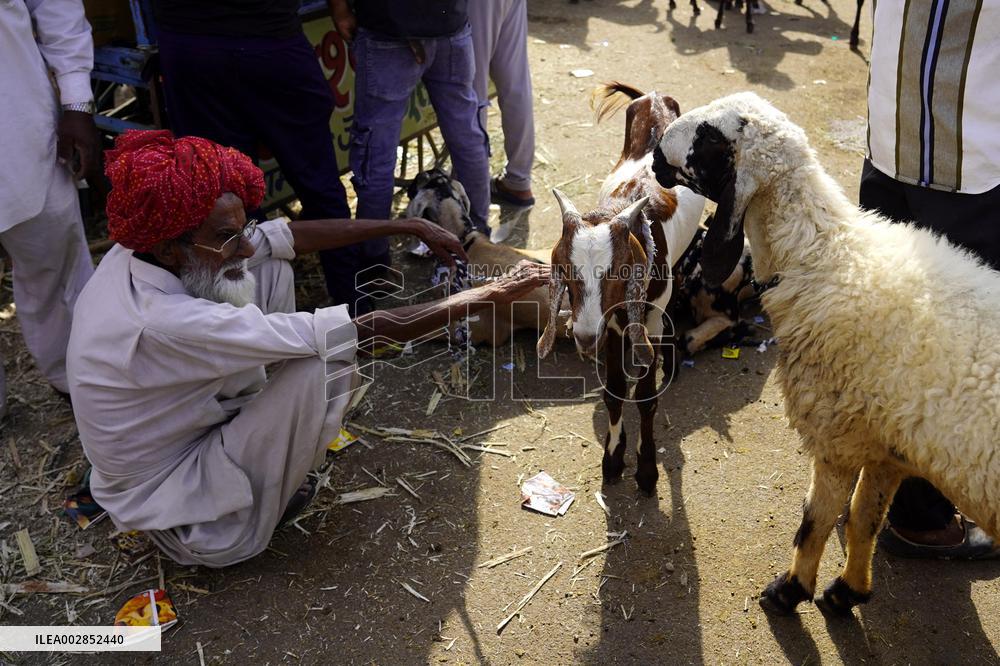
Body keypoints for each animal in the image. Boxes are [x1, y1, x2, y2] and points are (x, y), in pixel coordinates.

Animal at [537, 83, 705, 494]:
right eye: (567, 273)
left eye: (619, 272)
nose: (582, 336)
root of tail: (654, 96)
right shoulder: (610, 325)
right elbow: (614, 389)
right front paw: (613, 459)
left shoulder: (649, 320)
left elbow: (645, 399)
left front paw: (646, 470)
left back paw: (670, 362)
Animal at [655, 91, 1000, 615]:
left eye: (710, 138)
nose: (655, 157)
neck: (826, 257)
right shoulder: (885, 446)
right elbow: (862, 518)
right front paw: (849, 590)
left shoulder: (837, 434)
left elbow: (814, 519)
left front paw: (790, 590)